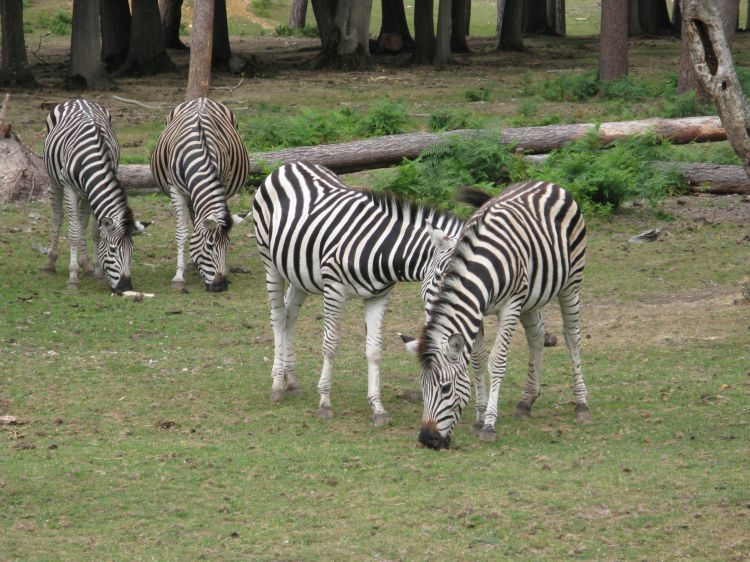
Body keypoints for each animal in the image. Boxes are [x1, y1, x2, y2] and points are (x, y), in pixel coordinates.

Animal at [44, 98, 151, 290]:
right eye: (113, 250)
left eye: (132, 249)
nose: (125, 287)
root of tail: (78, 99)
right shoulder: (69, 188)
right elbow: (73, 232)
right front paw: (73, 278)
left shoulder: (92, 191)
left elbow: (96, 231)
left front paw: (97, 272)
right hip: (53, 180)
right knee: (58, 216)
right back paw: (50, 263)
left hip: (85, 194)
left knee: (82, 222)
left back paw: (85, 265)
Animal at [151, 97, 251, 290]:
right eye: (210, 246)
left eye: (228, 246)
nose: (221, 286)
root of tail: (201, 98)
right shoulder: (176, 190)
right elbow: (182, 232)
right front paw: (179, 275)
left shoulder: (222, 183)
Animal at [253, 162, 464, 424]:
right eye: (444, 277)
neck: (383, 250)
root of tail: (289, 165)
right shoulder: (334, 287)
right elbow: (330, 344)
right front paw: (324, 402)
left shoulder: (378, 296)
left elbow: (374, 349)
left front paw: (378, 408)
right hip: (270, 262)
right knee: (279, 318)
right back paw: (277, 384)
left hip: (298, 273)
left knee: (290, 317)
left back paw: (291, 379)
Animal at [412, 182, 592, 448]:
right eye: (422, 387)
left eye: (445, 389)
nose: (427, 439)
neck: (482, 270)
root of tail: (546, 183)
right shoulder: (476, 310)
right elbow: (477, 360)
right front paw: (479, 418)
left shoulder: (510, 305)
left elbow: (497, 360)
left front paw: (489, 424)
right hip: (531, 297)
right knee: (536, 336)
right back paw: (526, 401)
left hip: (571, 282)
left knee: (572, 336)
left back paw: (581, 404)